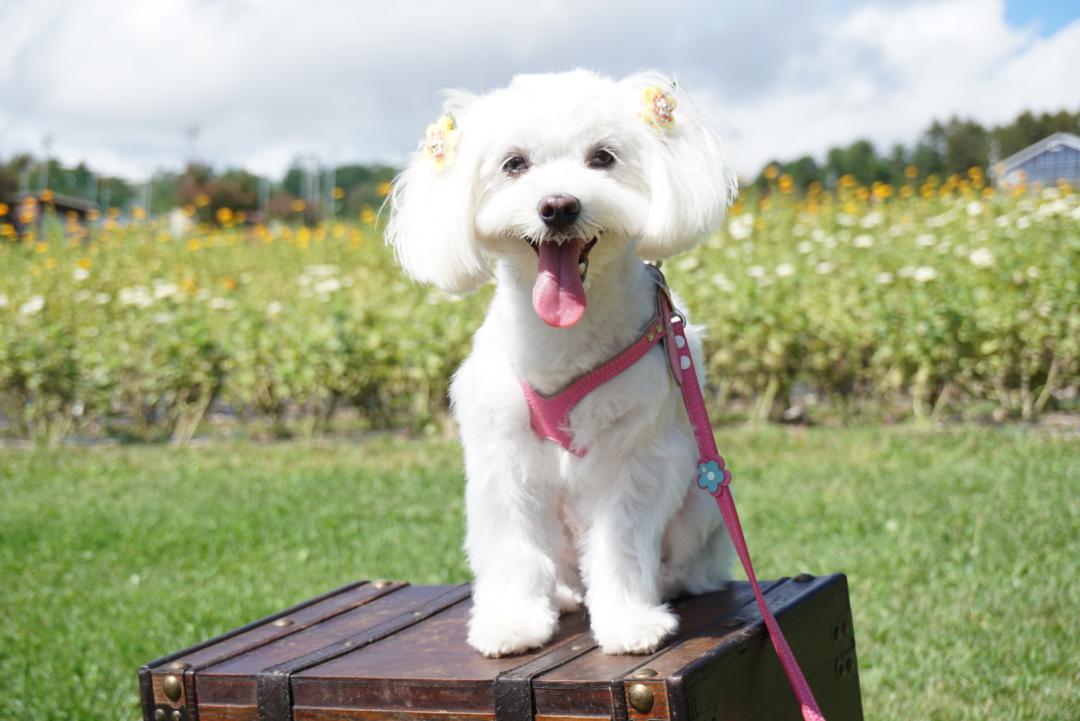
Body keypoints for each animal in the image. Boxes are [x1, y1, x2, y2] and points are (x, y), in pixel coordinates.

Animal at [386, 70, 734, 656]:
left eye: (603, 157)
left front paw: (630, 623)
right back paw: (566, 594)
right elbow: (511, 546)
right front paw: (512, 623)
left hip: (701, 503)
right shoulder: (503, 456)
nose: (558, 206)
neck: (563, 341)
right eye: (514, 164)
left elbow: (622, 541)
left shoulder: (634, 454)